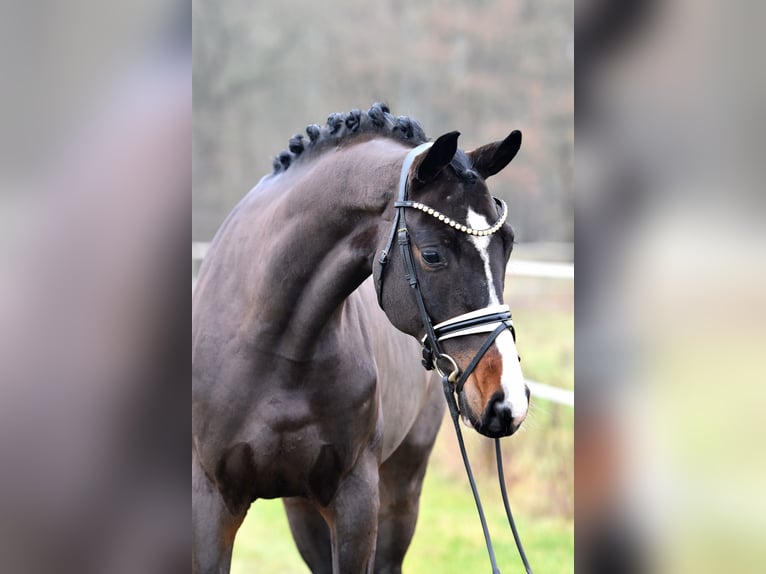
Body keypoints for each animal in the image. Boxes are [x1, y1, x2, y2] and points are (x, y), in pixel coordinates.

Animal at [192, 104, 532, 574]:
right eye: (432, 255)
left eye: (508, 243)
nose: (507, 401)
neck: (276, 349)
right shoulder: (211, 505)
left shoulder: (355, 502)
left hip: (400, 490)